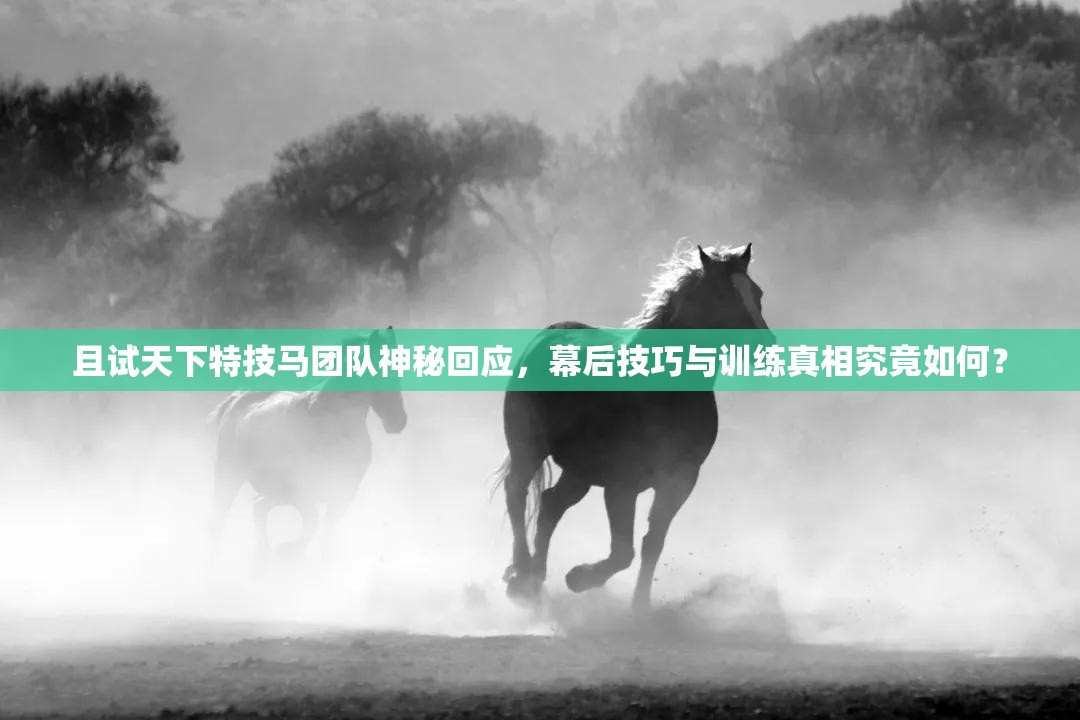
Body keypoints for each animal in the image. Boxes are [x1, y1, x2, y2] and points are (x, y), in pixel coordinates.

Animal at [206, 326, 408, 568]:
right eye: (384, 372)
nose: (398, 421)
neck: (333, 427)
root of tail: (238, 398)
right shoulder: (302, 491)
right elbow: (313, 523)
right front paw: (289, 551)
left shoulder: (342, 493)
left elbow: (327, 535)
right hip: (229, 475)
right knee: (220, 518)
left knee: (258, 507)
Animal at [495, 242, 775, 617]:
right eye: (719, 294)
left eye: (757, 293)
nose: (766, 347)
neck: (662, 393)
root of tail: (551, 330)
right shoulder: (621, 484)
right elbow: (623, 551)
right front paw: (579, 578)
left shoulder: (679, 480)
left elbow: (651, 543)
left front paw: (640, 606)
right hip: (528, 447)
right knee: (517, 493)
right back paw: (521, 575)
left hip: (580, 471)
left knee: (551, 504)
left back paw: (535, 578)